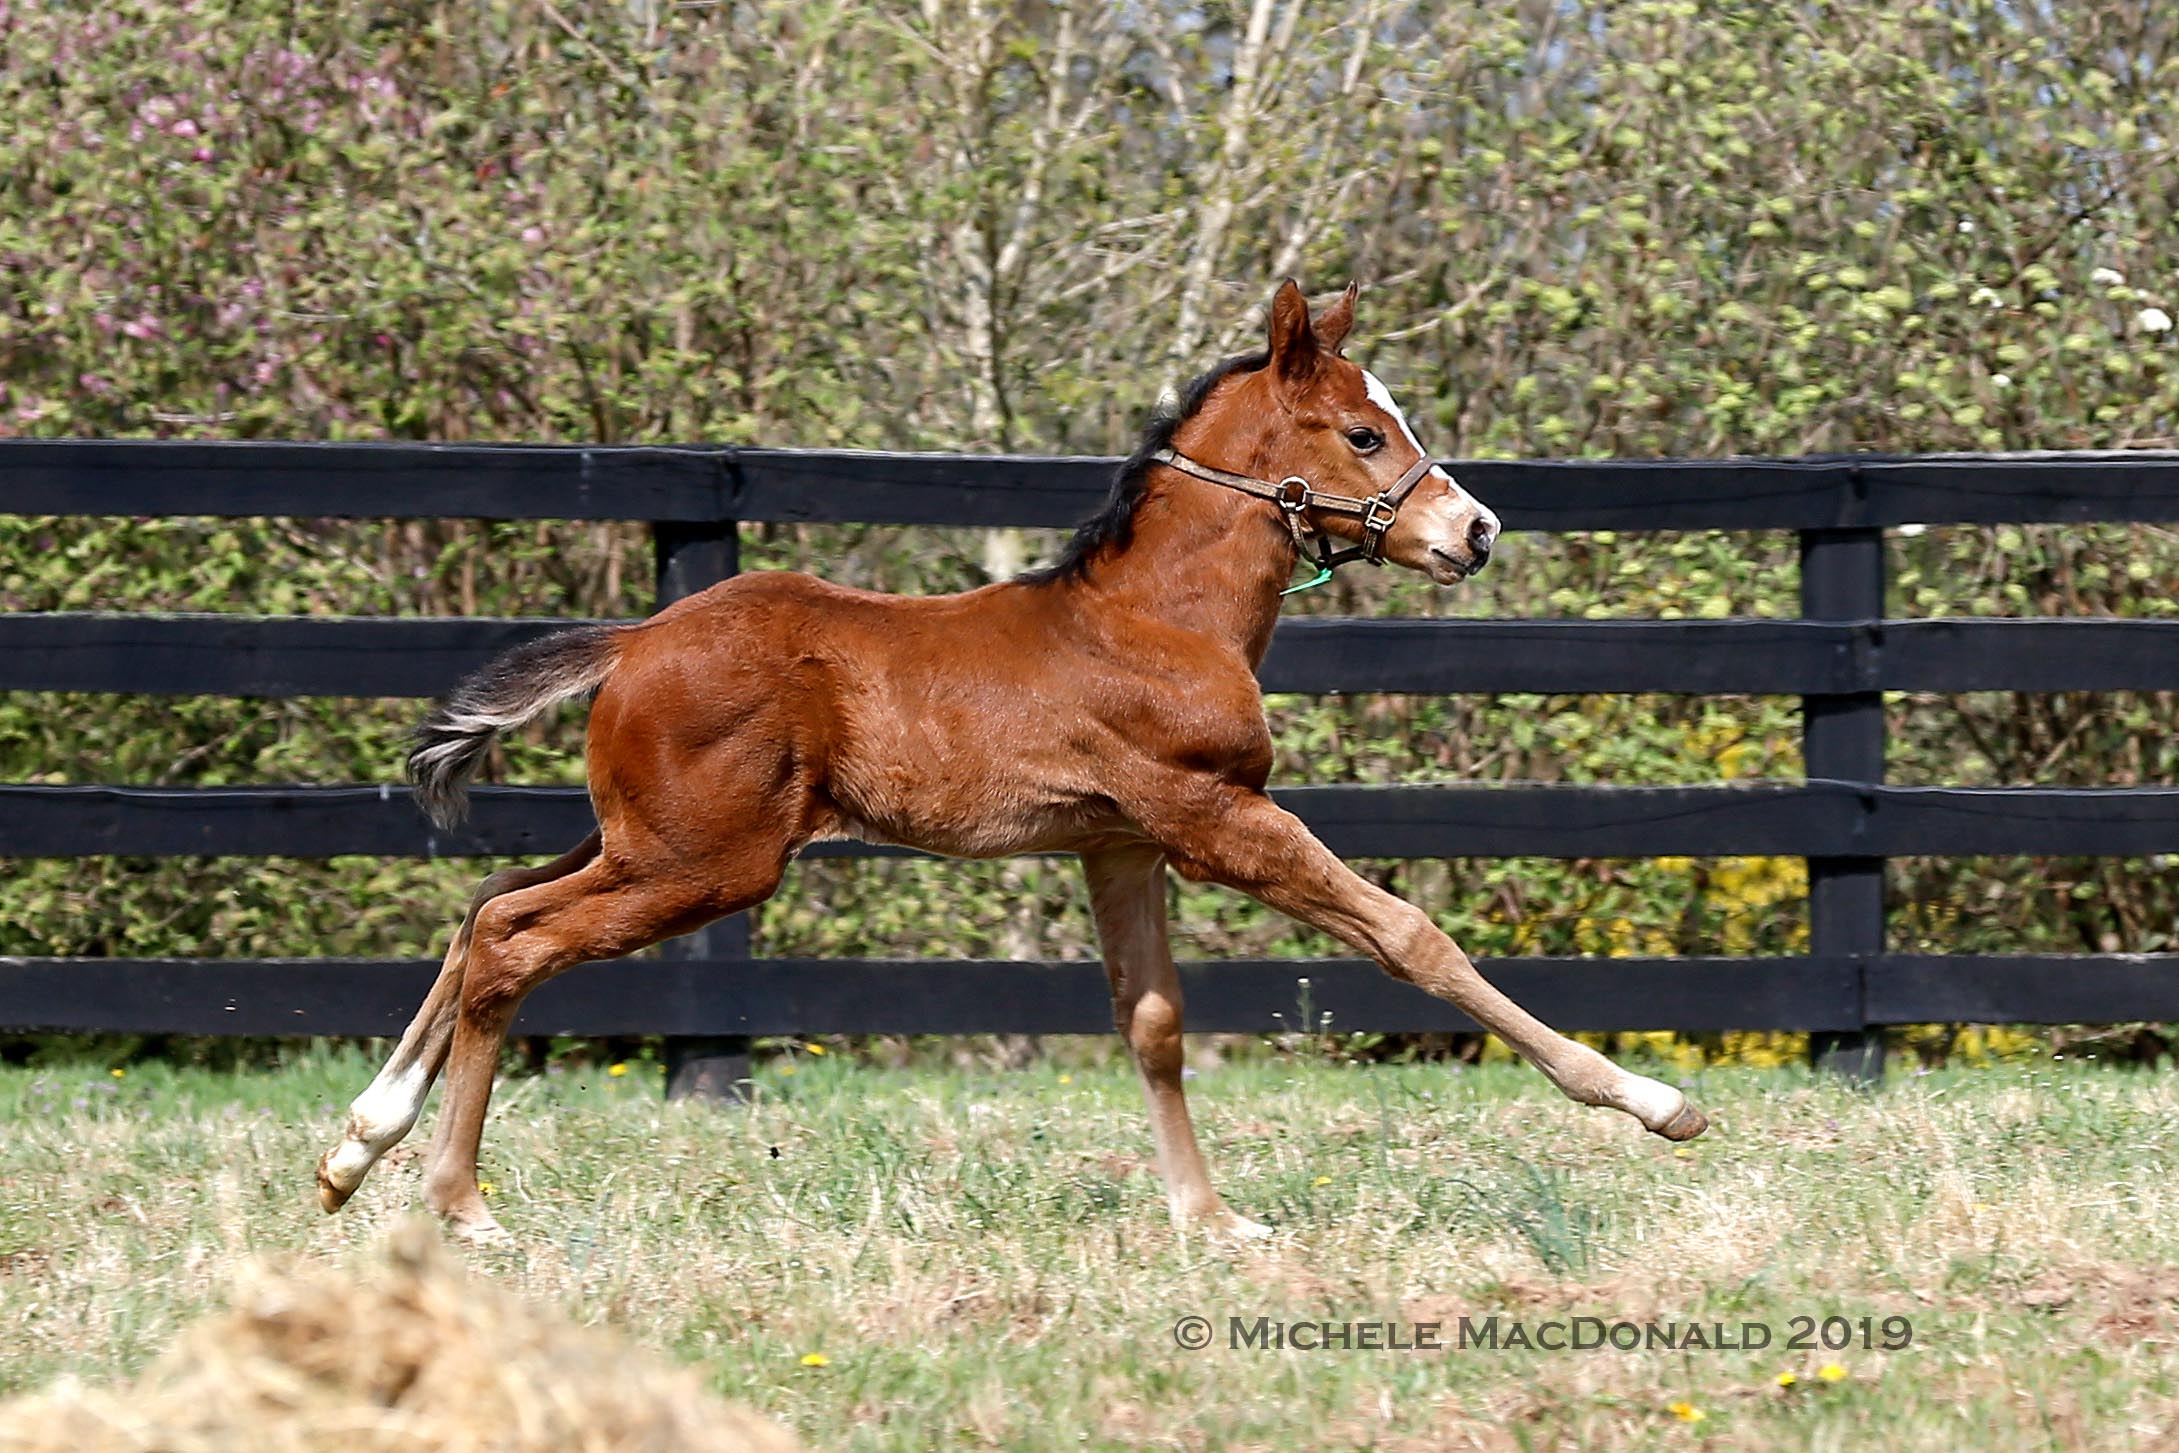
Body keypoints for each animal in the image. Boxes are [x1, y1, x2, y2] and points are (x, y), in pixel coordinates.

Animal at [322, 287, 1708, 1254]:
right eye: (1367, 432)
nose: (1473, 530)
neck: (1156, 618)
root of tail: (636, 638)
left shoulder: (1118, 841)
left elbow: (1151, 1021)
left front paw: (1210, 1220)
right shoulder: (1214, 815)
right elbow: (1410, 937)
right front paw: (1650, 1099)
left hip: (643, 839)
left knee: (486, 905)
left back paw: (356, 1148)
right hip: (705, 863)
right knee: (516, 941)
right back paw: (459, 1202)